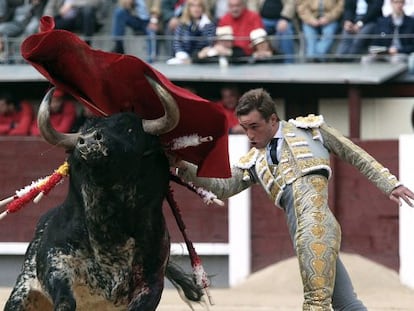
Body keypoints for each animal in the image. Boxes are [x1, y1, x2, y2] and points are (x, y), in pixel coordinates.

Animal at [3, 77, 204, 310]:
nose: (89, 140)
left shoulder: (151, 284)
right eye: (83, 130)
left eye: (129, 129)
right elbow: (64, 297)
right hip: (21, 294)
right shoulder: (56, 263)